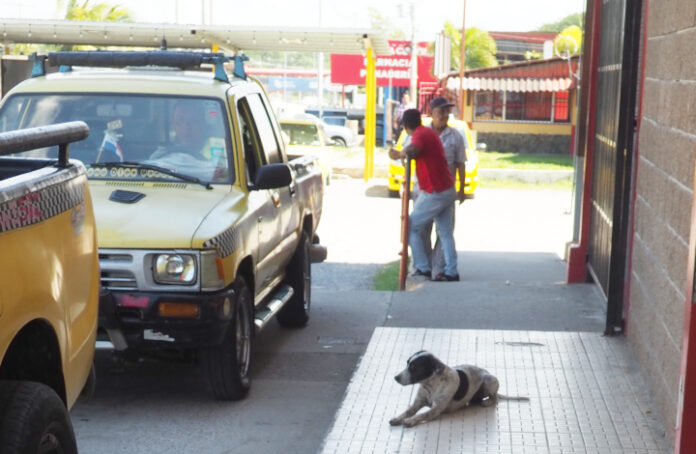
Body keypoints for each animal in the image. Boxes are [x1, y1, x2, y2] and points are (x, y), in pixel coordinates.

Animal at [388, 350, 532, 428]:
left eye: (413, 367)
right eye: (407, 363)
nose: (395, 377)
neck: (430, 385)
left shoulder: (436, 410)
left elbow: (422, 414)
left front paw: (410, 421)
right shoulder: (417, 403)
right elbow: (407, 411)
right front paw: (397, 418)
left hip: (489, 381)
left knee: (495, 397)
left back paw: (487, 402)